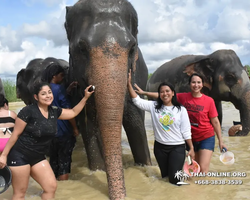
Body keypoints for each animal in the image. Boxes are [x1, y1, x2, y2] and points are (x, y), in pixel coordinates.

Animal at [64, 0, 150, 199]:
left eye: (132, 48)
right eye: (81, 48)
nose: (122, 195)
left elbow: (136, 125)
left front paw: (148, 168)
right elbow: (88, 127)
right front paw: (98, 171)